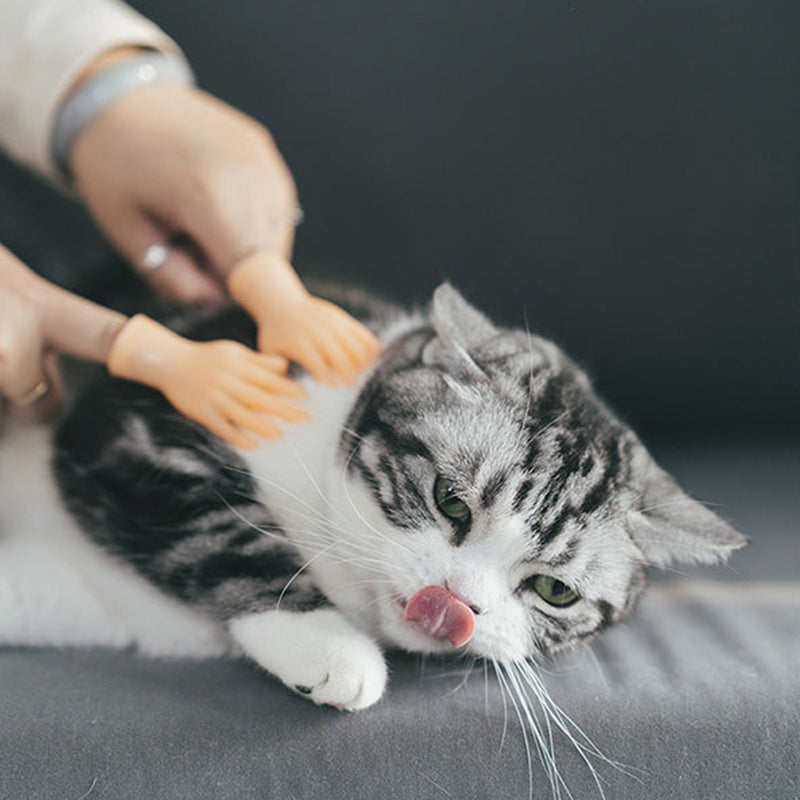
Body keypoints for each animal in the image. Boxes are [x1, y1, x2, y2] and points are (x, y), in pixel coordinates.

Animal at [0, 286, 744, 712]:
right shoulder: (136, 425)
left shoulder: (97, 598)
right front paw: (325, 642)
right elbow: (224, 530)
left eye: (554, 591)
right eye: (450, 500)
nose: (454, 605)